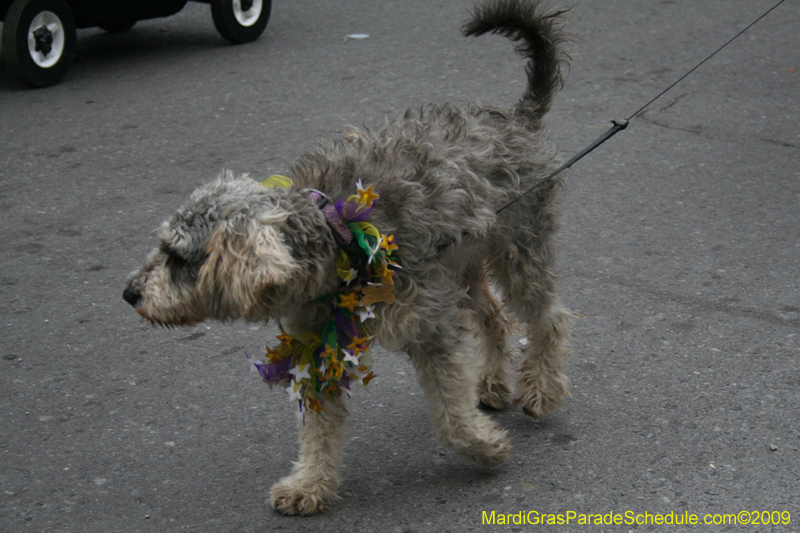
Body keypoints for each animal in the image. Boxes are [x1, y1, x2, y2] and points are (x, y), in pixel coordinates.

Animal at [123, 0, 576, 516]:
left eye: (178, 257)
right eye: (161, 246)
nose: (129, 293)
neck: (336, 239)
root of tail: (516, 119)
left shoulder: (431, 330)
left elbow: (451, 418)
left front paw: (485, 448)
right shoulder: (322, 344)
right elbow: (317, 428)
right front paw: (310, 483)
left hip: (520, 252)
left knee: (549, 319)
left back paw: (540, 390)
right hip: (461, 267)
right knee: (495, 318)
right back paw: (494, 384)